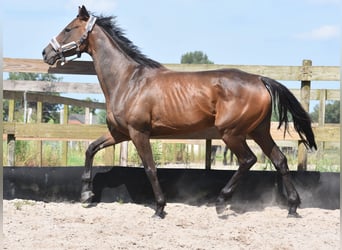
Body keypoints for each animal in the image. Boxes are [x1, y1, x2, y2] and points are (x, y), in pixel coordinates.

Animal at [43, 4, 318, 218]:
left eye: (68, 28)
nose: (46, 53)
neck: (128, 81)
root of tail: (260, 79)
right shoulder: (120, 134)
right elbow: (90, 149)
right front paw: (86, 194)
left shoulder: (139, 133)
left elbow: (150, 168)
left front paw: (159, 208)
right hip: (259, 131)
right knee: (280, 160)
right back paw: (293, 207)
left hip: (231, 133)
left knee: (248, 160)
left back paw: (221, 203)